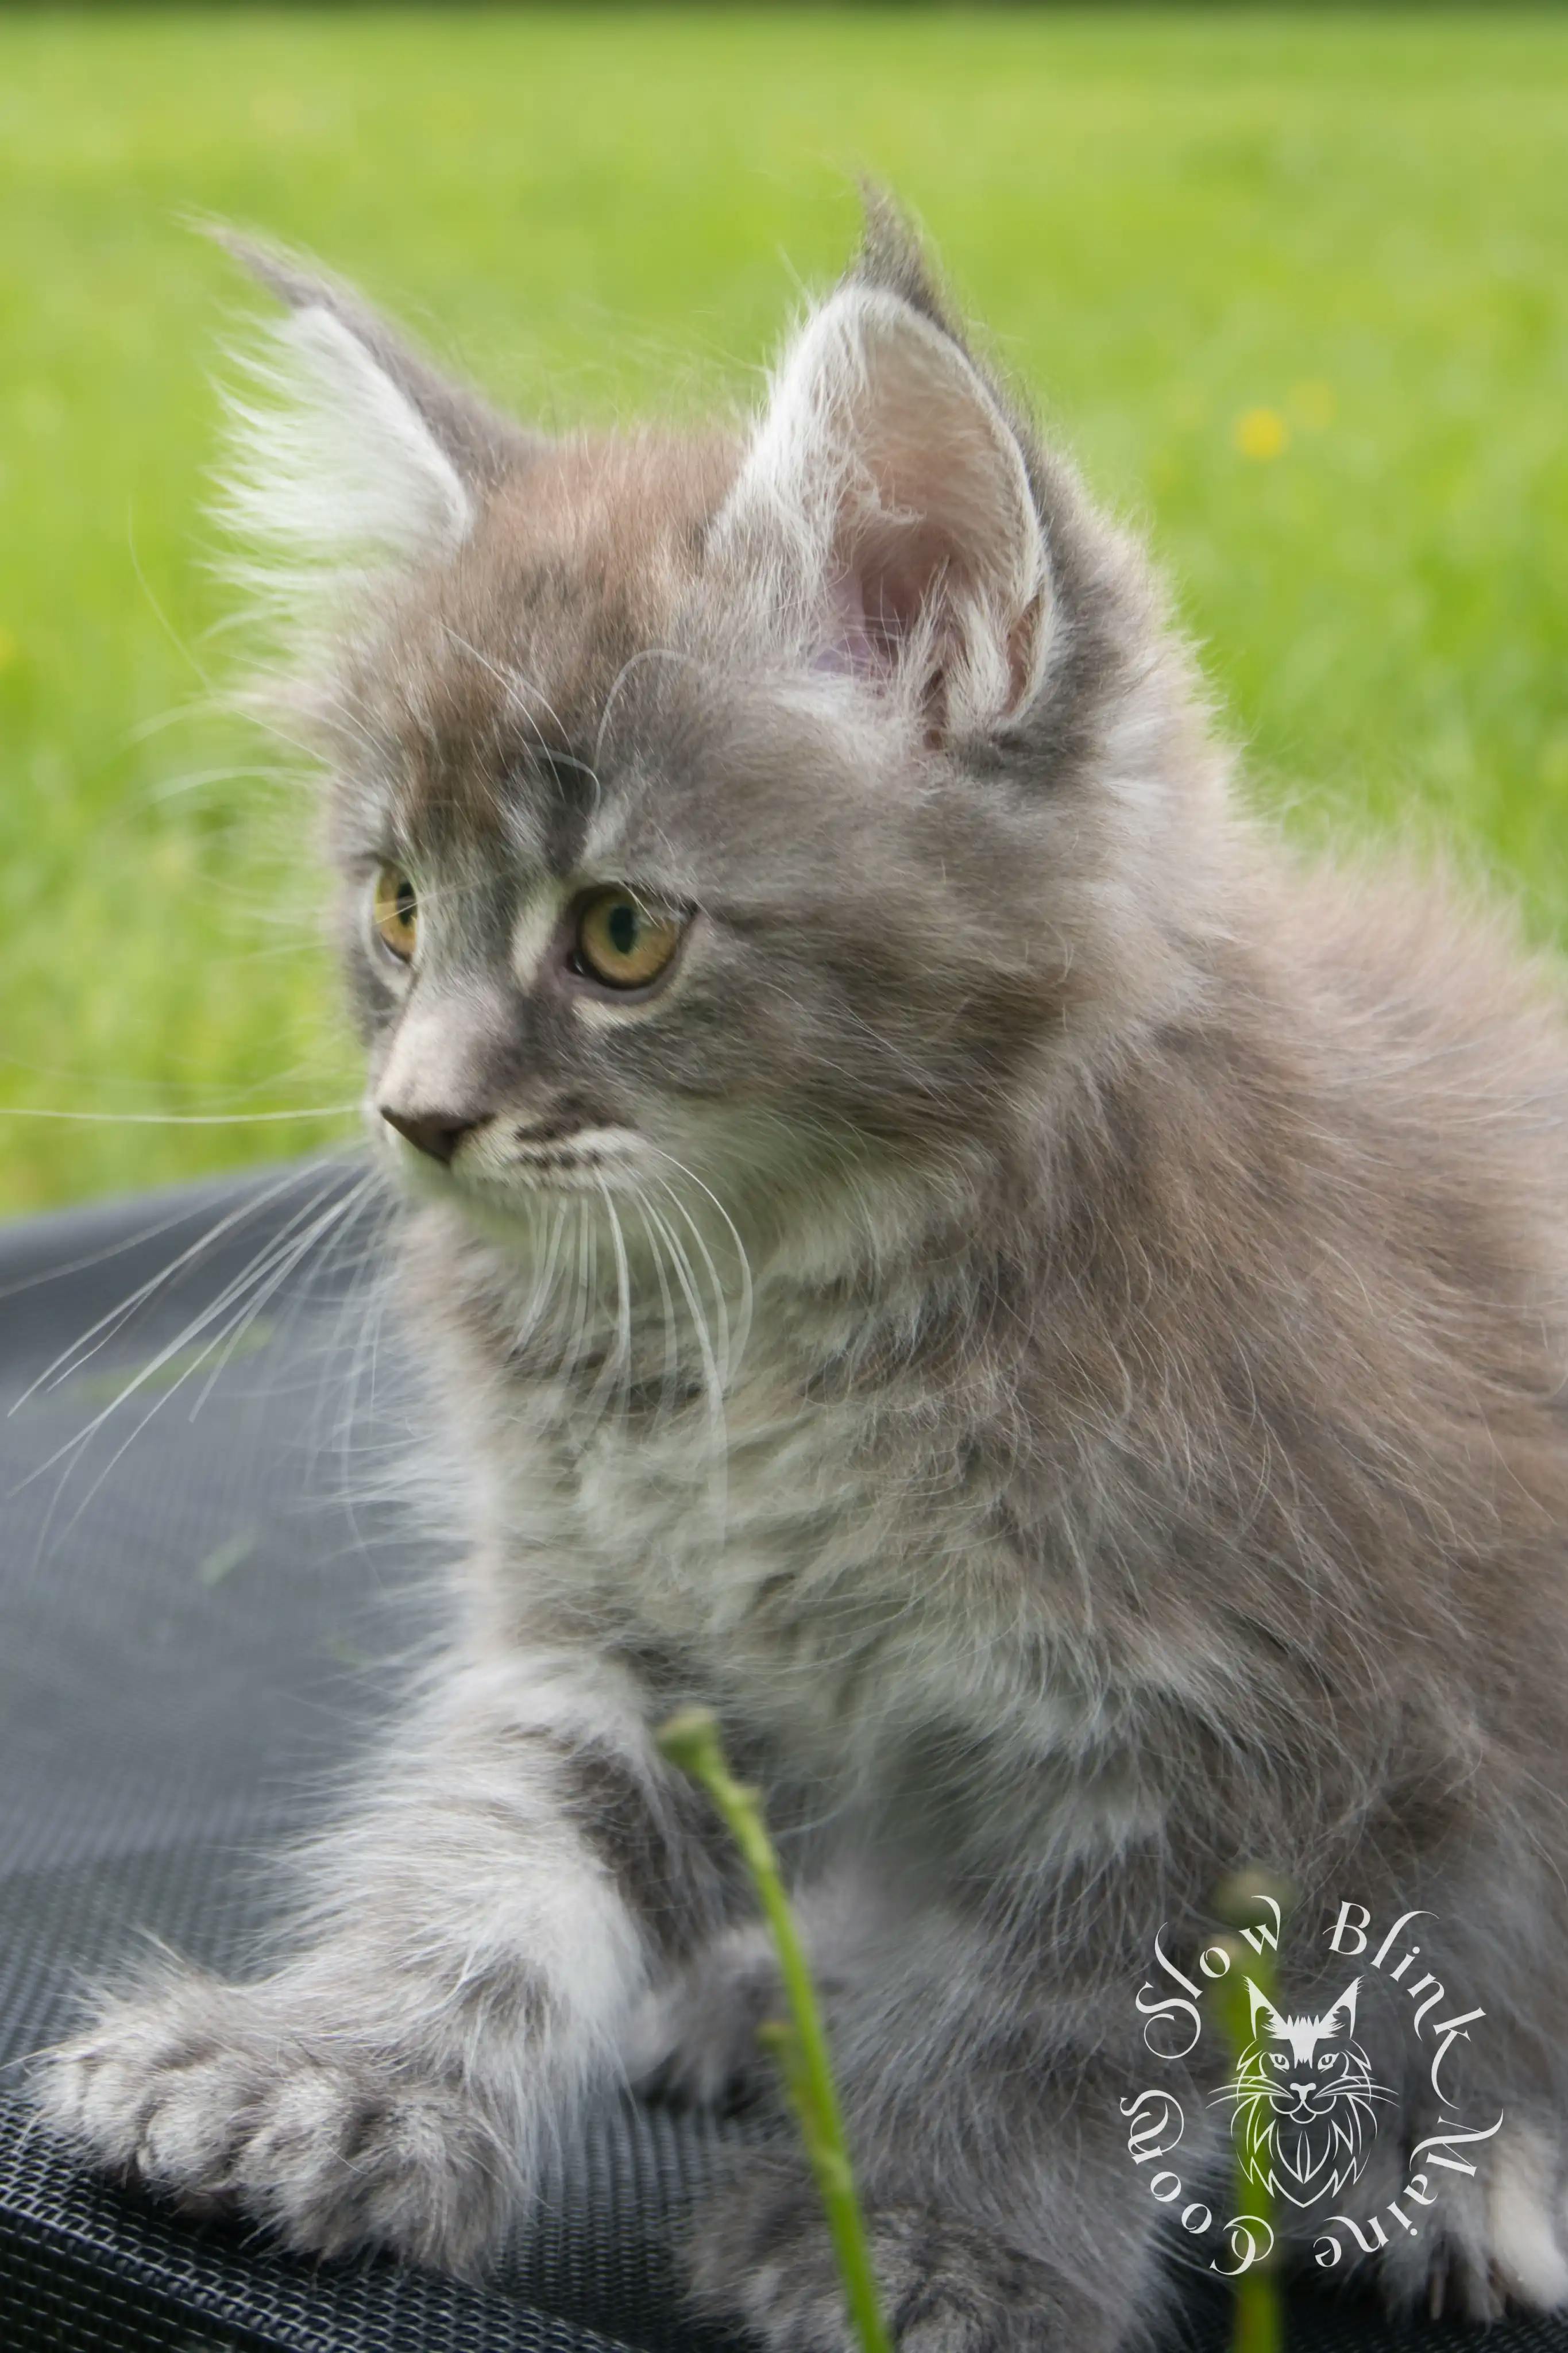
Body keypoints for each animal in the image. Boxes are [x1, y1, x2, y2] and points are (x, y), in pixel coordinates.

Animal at [30, 207, 1568, 2353]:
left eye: (620, 933)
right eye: (397, 907)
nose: (415, 1114)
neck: (782, 1324)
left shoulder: (1248, 1730)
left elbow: (1057, 2012)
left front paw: (937, 2239)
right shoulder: (626, 1630)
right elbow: (483, 1857)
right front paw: (319, 2071)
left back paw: (1468, 2184)